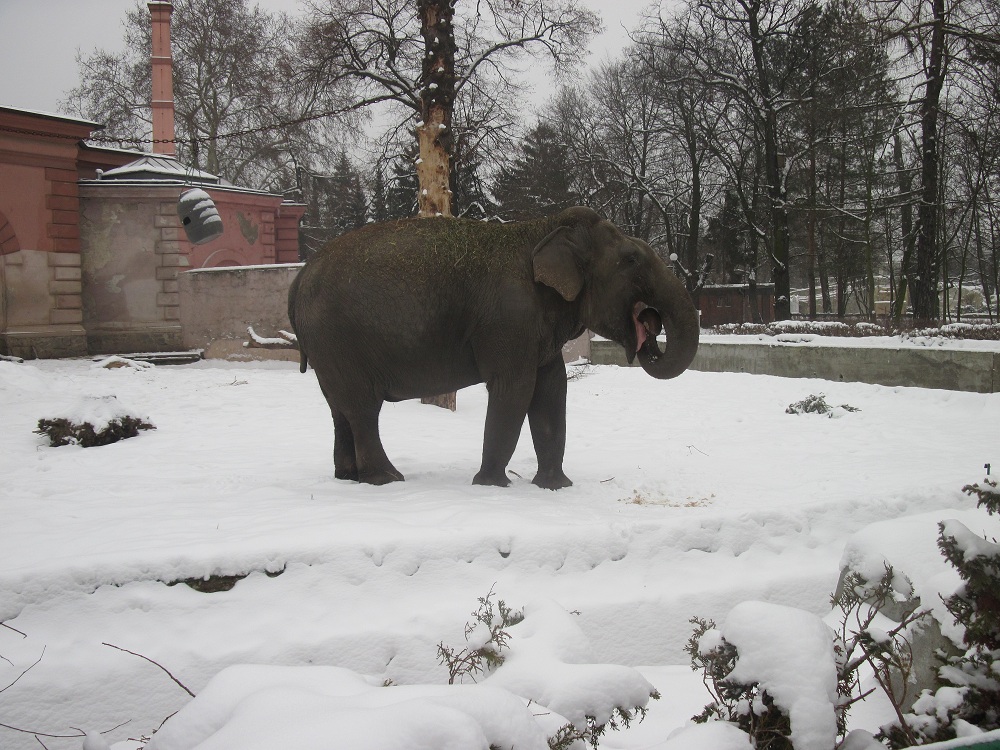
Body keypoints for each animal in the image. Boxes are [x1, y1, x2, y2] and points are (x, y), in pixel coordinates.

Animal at [288, 206, 700, 489]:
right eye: (632, 259)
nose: (650, 323)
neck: (544, 228)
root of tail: (300, 276)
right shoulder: (510, 319)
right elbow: (514, 389)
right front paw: (491, 485)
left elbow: (552, 389)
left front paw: (555, 487)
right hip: (339, 340)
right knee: (362, 409)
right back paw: (388, 479)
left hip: (328, 349)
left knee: (339, 408)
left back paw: (348, 478)